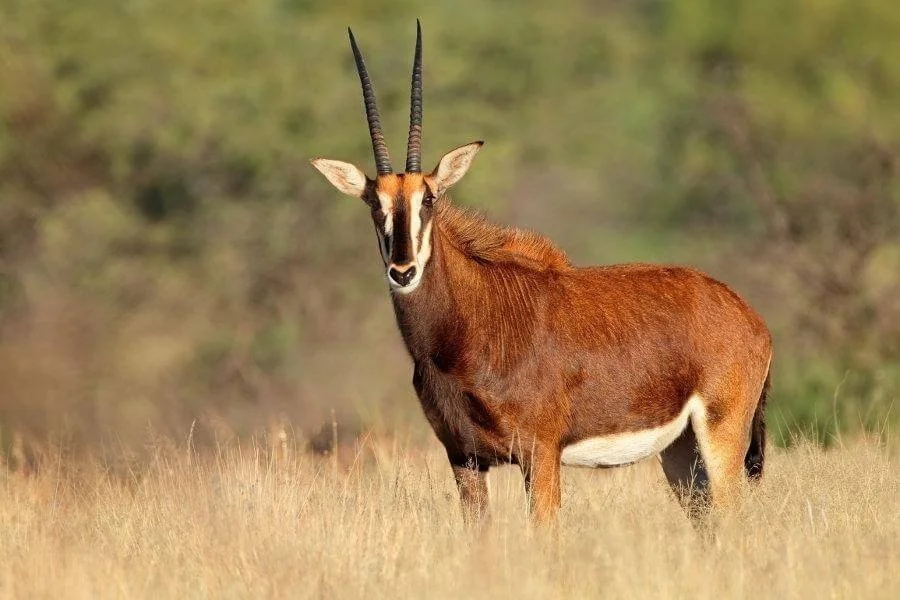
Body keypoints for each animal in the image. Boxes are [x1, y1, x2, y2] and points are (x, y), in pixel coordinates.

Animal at [311, 22, 773, 523]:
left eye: (428, 199)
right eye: (373, 205)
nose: (402, 271)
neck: (467, 327)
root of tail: (749, 316)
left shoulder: (540, 453)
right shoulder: (464, 458)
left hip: (721, 436)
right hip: (680, 451)